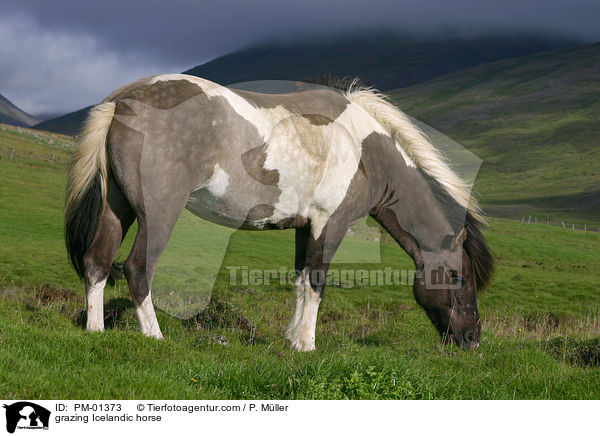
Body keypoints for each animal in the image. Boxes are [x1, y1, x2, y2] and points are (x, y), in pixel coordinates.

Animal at [64, 75, 492, 350]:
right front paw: (307, 345)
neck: (365, 150)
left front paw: (291, 340)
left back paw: (94, 331)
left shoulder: (306, 227)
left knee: (97, 262)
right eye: (457, 277)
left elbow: (301, 281)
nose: (472, 339)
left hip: (117, 209)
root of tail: (124, 99)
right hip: (158, 214)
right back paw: (154, 337)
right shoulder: (330, 224)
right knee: (137, 269)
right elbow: (317, 282)